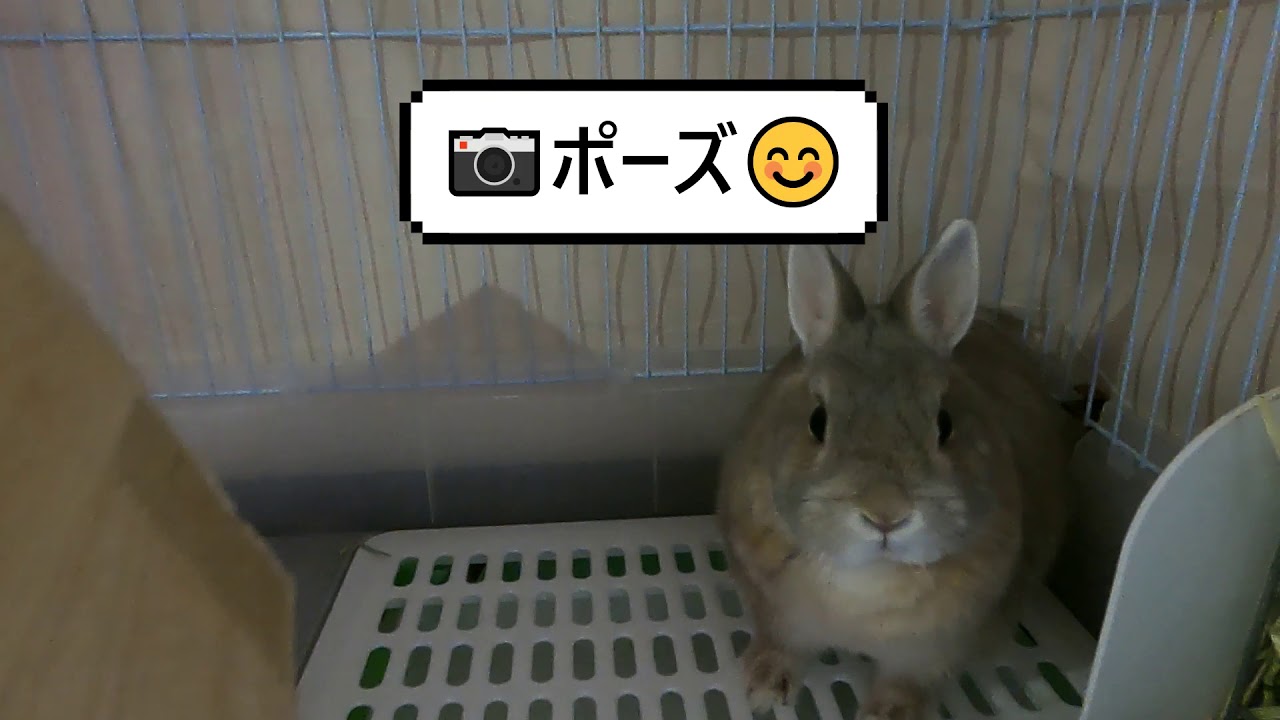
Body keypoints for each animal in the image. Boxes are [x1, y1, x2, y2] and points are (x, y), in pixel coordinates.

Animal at [715, 219, 1089, 720]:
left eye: (945, 423)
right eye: (817, 421)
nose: (887, 513)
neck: (868, 582)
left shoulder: (935, 649)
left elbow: (907, 682)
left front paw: (889, 715)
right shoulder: (774, 609)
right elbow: (781, 643)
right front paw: (764, 690)